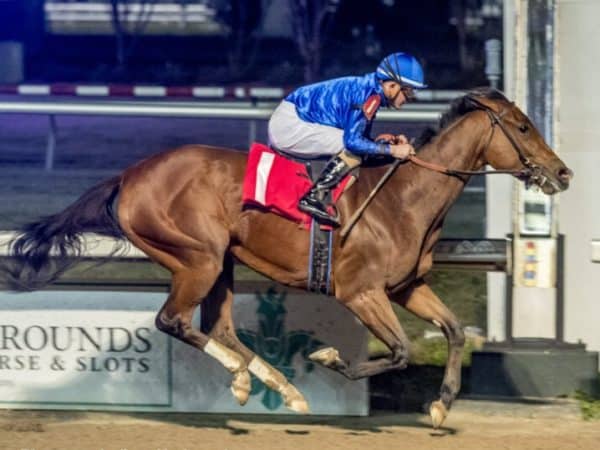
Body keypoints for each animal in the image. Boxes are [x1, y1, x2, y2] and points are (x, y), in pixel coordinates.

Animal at [2, 89, 572, 428]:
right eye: (523, 127)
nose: (562, 173)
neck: (404, 198)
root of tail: (131, 174)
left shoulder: (407, 287)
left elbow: (452, 330)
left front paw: (440, 402)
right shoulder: (361, 291)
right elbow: (400, 350)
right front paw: (329, 358)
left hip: (222, 261)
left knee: (219, 327)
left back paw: (280, 389)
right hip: (198, 256)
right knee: (174, 321)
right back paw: (244, 380)